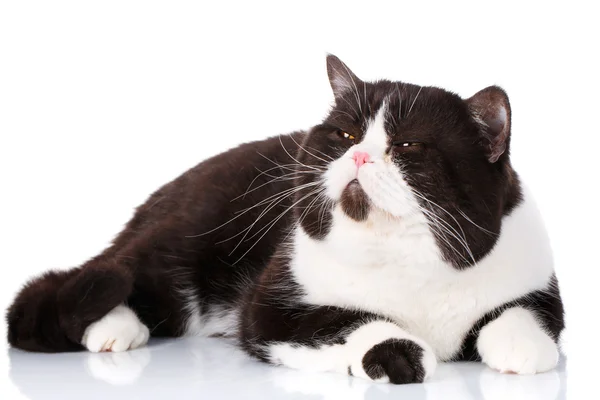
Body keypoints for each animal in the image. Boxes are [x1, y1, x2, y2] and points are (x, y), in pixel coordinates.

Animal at [8, 54, 564, 384]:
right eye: (344, 135)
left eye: (408, 146)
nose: (360, 155)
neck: (404, 256)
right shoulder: (274, 305)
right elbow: (347, 321)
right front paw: (399, 353)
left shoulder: (537, 284)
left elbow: (524, 315)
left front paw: (522, 348)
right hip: (187, 239)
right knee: (110, 275)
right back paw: (115, 327)